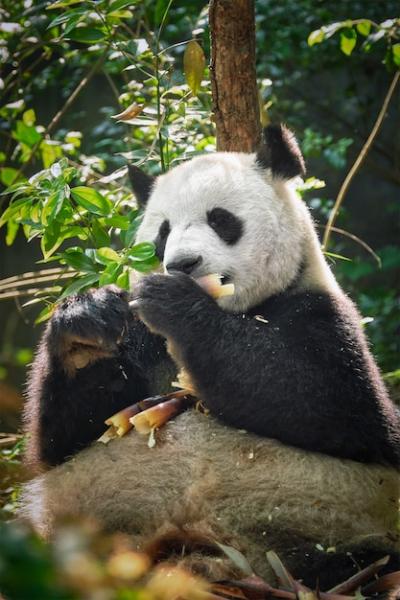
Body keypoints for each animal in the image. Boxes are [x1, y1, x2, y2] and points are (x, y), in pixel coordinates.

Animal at [20, 124, 398, 588]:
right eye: (163, 232)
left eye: (220, 219)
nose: (182, 264)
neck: (235, 308)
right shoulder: (141, 341)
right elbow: (64, 441)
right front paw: (86, 322)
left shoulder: (320, 316)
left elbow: (326, 403)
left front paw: (177, 304)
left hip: (332, 528)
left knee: (353, 559)